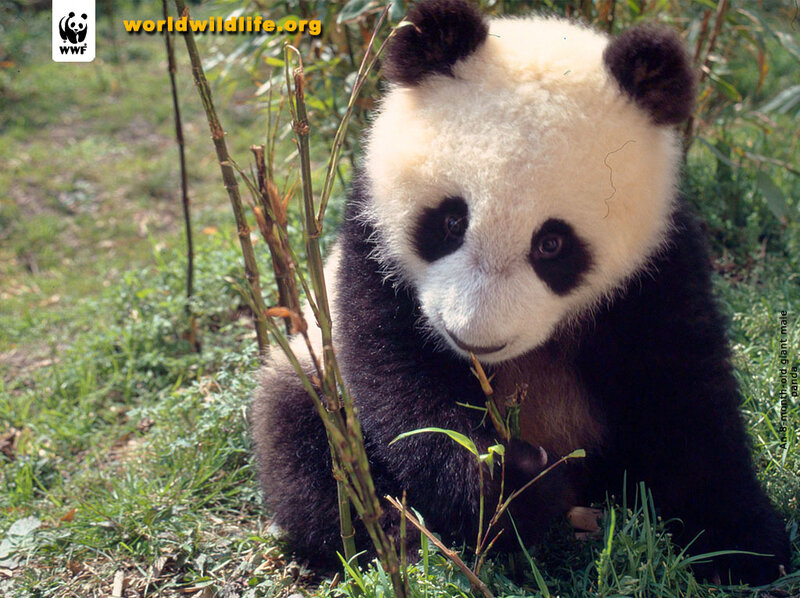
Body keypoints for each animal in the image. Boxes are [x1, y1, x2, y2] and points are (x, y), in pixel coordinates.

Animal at [251, 0, 790, 586]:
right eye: (451, 221)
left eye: (552, 244)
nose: (474, 338)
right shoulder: (372, 243)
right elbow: (399, 381)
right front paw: (511, 491)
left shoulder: (656, 263)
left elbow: (681, 393)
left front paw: (744, 546)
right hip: (310, 371)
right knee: (307, 435)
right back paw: (393, 539)